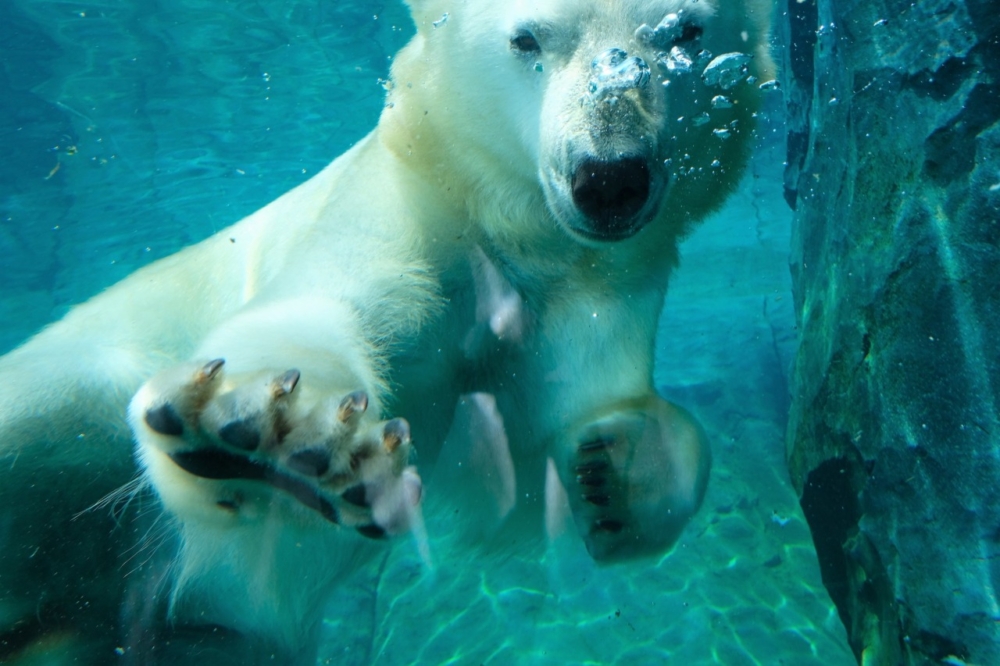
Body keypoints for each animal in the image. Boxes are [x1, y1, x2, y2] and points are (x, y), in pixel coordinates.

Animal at [0, 0, 770, 662]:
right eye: (528, 39)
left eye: (686, 33)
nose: (609, 176)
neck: (504, 227)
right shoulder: (407, 204)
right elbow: (329, 301)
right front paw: (272, 431)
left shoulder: (598, 282)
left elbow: (545, 441)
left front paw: (618, 473)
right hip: (91, 376)